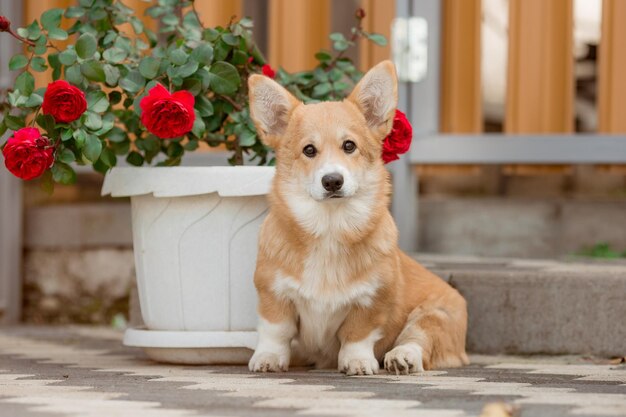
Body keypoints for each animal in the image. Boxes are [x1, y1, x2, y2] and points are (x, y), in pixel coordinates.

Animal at [246, 61, 466, 374]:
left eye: (349, 146)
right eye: (309, 150)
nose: (332, 181)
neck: (329, 227)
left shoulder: (372, 300)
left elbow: (357, 334)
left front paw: (358, 361)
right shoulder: (273, 294)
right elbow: (276, 331)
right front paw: (268, 358)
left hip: (433, 317)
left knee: (417, 340)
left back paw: (403, 357)